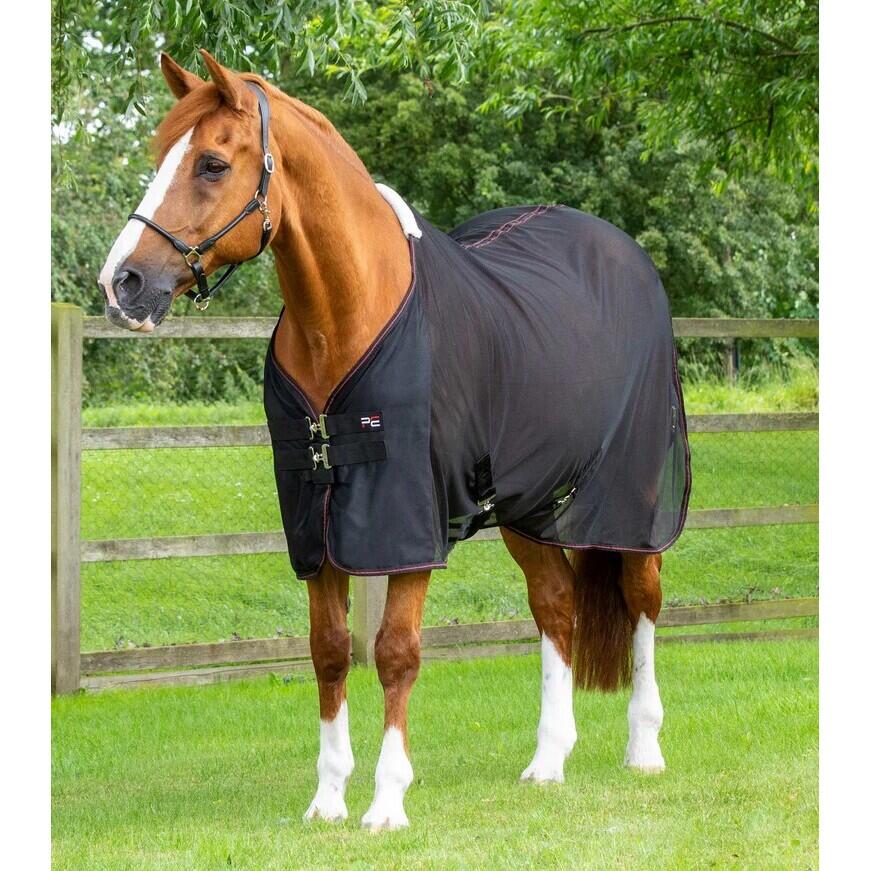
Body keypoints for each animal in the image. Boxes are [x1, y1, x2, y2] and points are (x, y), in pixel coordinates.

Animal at [98, 50, 690, 832]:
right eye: (159, 155)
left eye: (213, 164)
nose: (122, 284)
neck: (349, 313)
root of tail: (623, 254)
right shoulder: (317, 519)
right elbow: (328, 651)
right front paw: (326, 799)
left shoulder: (407, 520)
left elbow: (395, 652)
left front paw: (385, 802)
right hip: (525, 504)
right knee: (555, 603)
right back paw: (547, 761)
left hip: (631, 496)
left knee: (643, 598)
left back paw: (645, 748)